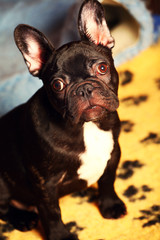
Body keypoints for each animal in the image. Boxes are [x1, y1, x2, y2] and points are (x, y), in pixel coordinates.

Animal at [0, 0, 126, 239]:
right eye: (57, 85)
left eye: (102, 68)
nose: (84, 88)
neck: (86, 127)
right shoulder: (45, 183)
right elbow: (52, 212)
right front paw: (60, 235)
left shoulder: (113, 154)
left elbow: (108, 181)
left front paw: (110, 205)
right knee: (3, 207)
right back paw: (22, 219)